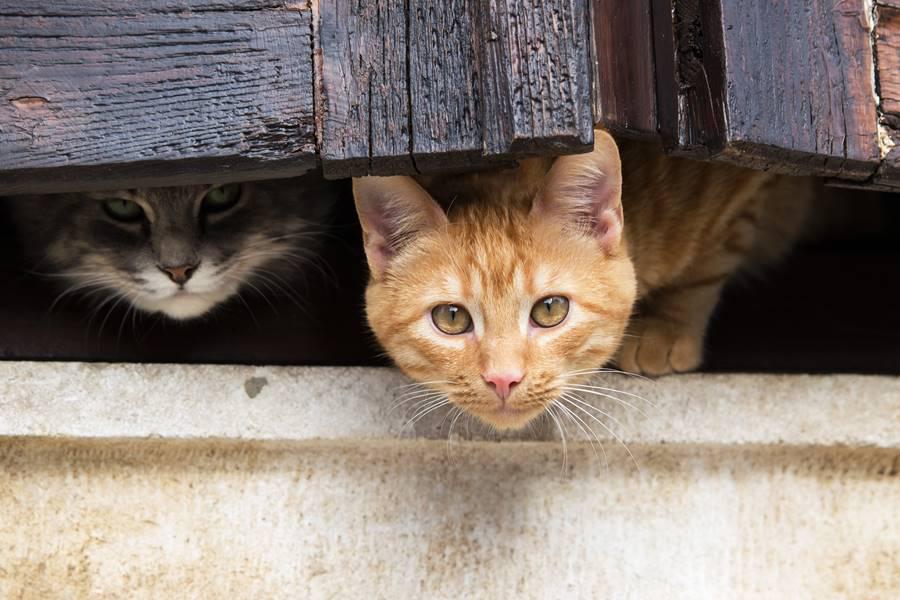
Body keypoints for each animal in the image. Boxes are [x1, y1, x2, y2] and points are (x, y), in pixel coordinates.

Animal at [354, 132, 816, 432]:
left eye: (550, 309)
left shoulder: (744, 181)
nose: (503, 380)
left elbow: (709, 262)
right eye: (451, 318)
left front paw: (667, 327)